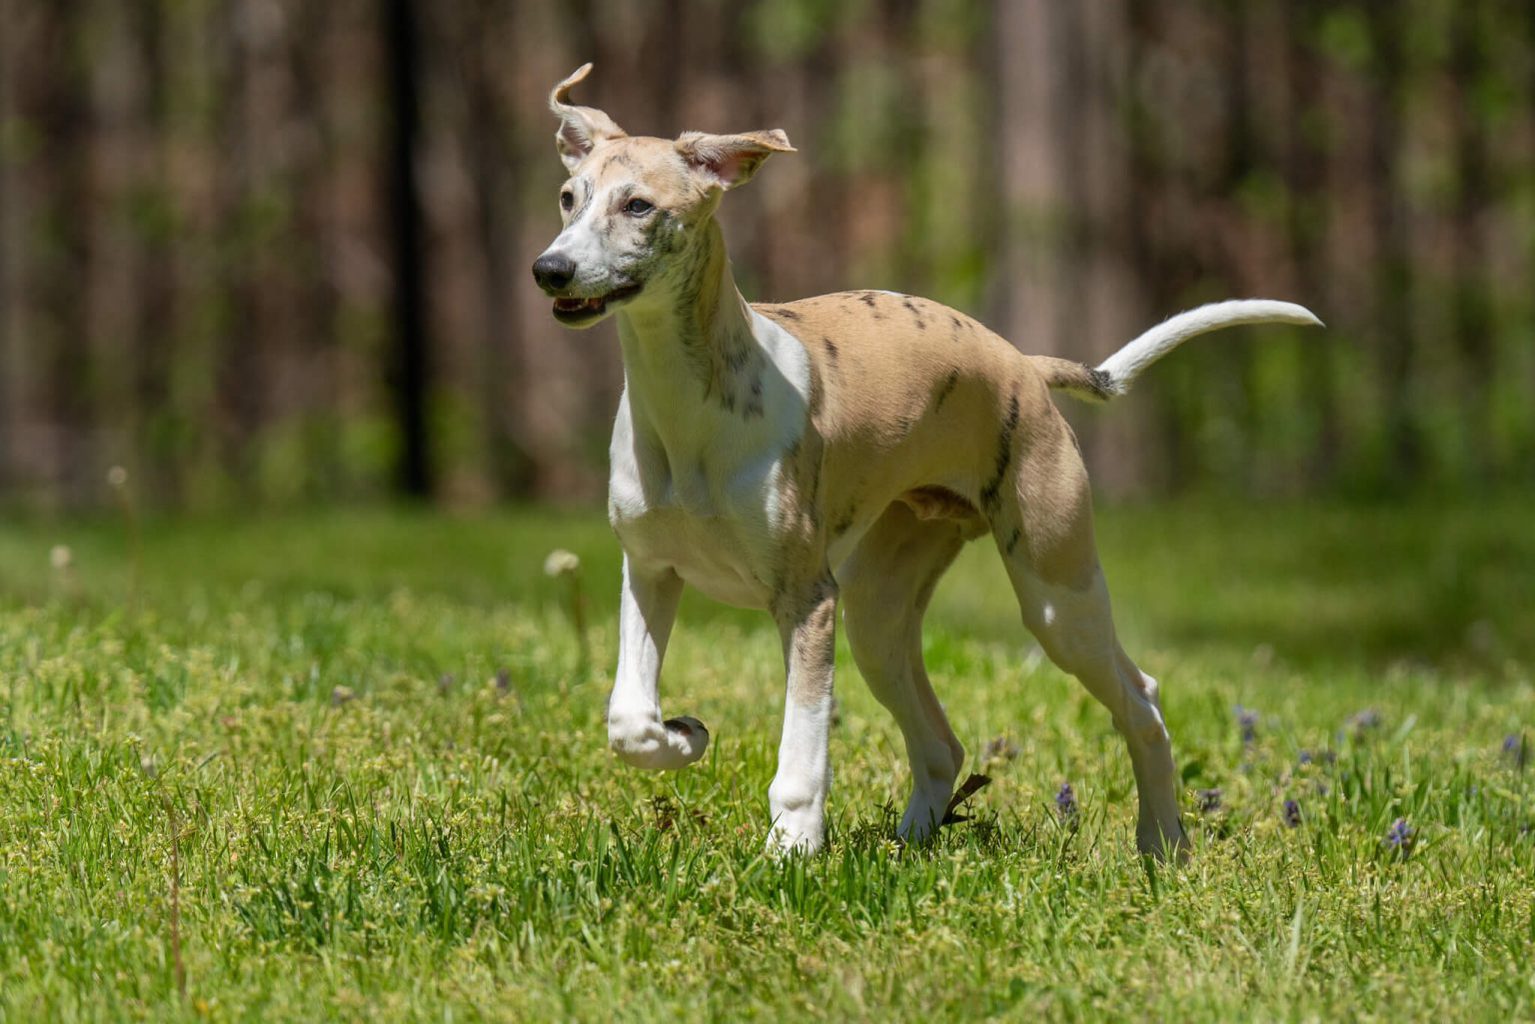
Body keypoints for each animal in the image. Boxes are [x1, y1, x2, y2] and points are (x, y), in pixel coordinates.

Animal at [531, 64, 1320, 859]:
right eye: (568, 197)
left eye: (638, 205)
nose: (549, 270)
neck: (688, 408)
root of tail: (1024, 367)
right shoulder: (650, 570)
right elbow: (627, 720)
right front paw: (683, 736)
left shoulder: (807, 599)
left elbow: (800, 752)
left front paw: (791, 851)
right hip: (880, 610)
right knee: (942, 745)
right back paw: (911, 845)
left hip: (1056, 593)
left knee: (1142, 699)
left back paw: (1161, 842)